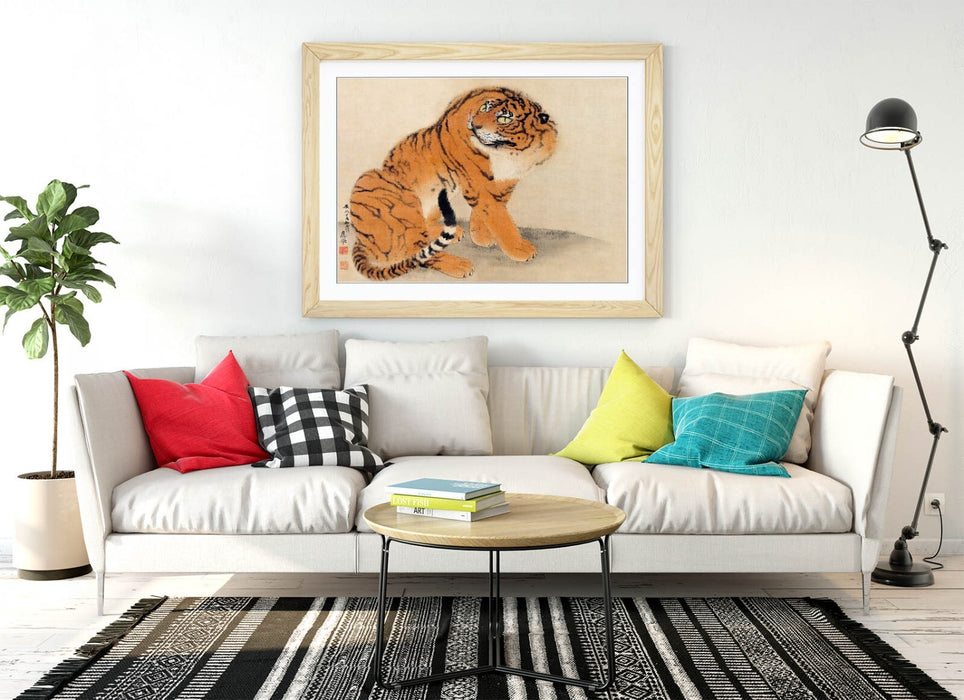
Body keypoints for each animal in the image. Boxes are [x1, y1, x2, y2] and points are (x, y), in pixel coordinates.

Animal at [349, 87, 558, 280]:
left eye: (504, 119)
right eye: (484, 108)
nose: (475, 125)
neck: (510, 152)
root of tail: (361, 239)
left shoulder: (506, 181)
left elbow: (492, 212)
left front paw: (481, 236)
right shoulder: (478, 183)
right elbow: (500, 218)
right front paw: (520, 249)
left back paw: (453, 232)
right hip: (388, 192)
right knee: (417, 252)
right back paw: (460, 265)